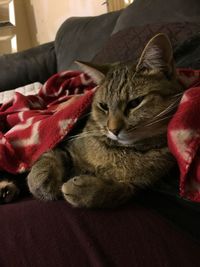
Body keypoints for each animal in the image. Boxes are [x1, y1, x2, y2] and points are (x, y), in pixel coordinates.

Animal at [0, 33, 184, 208]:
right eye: (103, 106)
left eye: (135, 103)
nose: (113, 129)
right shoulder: (65, 144)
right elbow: (50, 156)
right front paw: (41, 181)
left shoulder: (138, 187)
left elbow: (116, 192)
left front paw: (82, 189)